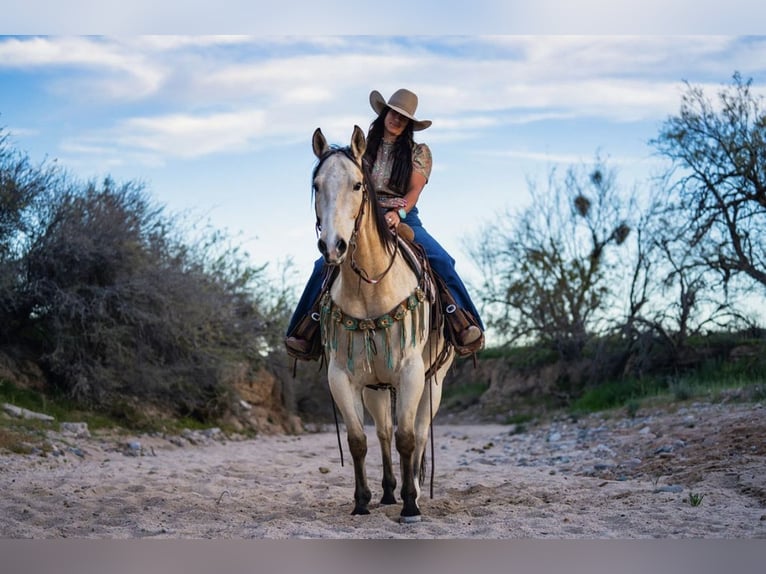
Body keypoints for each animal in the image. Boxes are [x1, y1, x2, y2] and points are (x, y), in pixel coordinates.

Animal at [311, 125, 454, 523]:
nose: (333, 246)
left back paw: (413, 491)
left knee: (417, 435)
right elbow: (359, 440)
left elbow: (408, 438)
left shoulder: (410, 373)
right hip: (375, 386)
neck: (370, 287)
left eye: (358, 184)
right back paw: (389, 492)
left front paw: (411, 505)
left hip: (433, 382)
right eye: (316, 184)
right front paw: (362, 501)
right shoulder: (341, 377)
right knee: (384, 434)